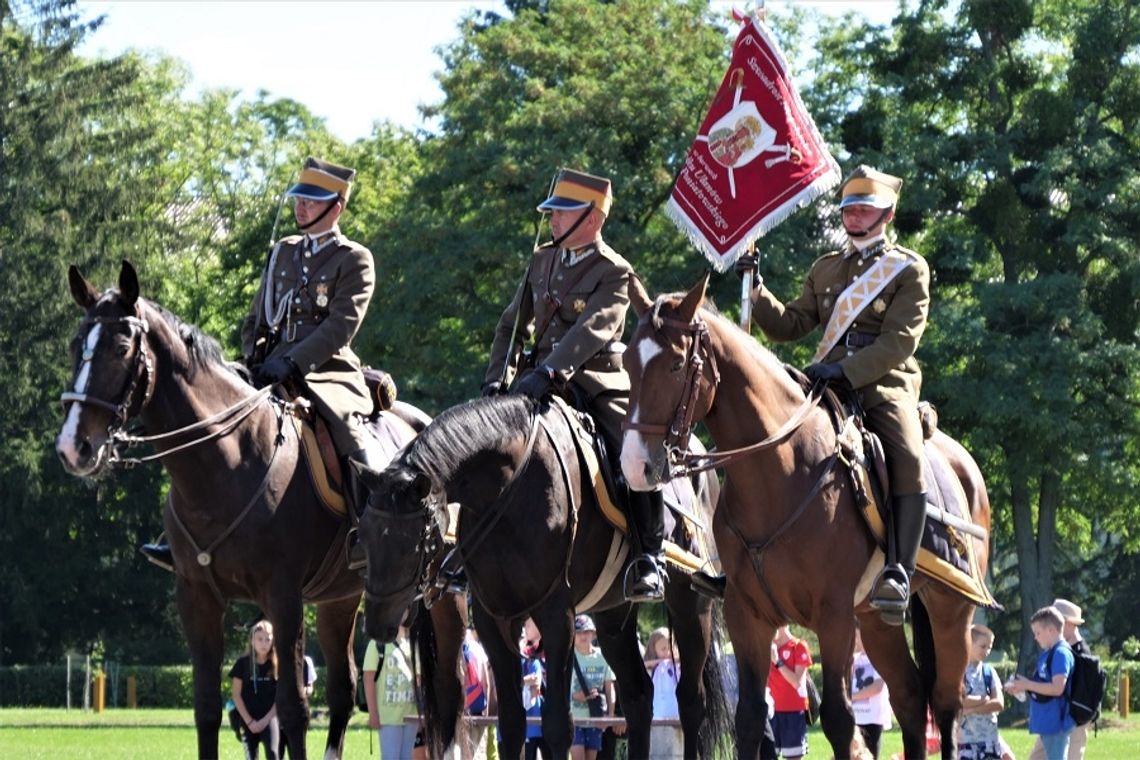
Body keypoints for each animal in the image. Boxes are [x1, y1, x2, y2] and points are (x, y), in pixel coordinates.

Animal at [55, 263, 465, 760]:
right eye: (76, 345)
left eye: (119, 348)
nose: (72, 447)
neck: (227, 463)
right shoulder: (197, 599)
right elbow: (207, 708)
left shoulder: (283, 599)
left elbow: (292, 709)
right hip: (340, 599)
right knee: (344, 693)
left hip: (445, 598)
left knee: (448, 691)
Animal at [357, 396, 729, 760]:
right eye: (364, 534)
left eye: (414, 543)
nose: (377, 625)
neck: (507, 493)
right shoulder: (494, 619)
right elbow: (511, 723)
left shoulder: (556, 617)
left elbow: (557, 726)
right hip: (613, 616)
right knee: (638, 697)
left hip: (692, 605)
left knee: (691, 701)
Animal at [620, 278, 994, 760]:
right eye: (627, 363)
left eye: (676, 364)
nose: (634, 467)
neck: (779, 473)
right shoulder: (747, 614)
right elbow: (750, 718)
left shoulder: (834, 616)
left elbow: (839, 720)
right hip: (877, 621)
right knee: (911, 696)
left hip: (951, 611)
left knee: (947, 706)